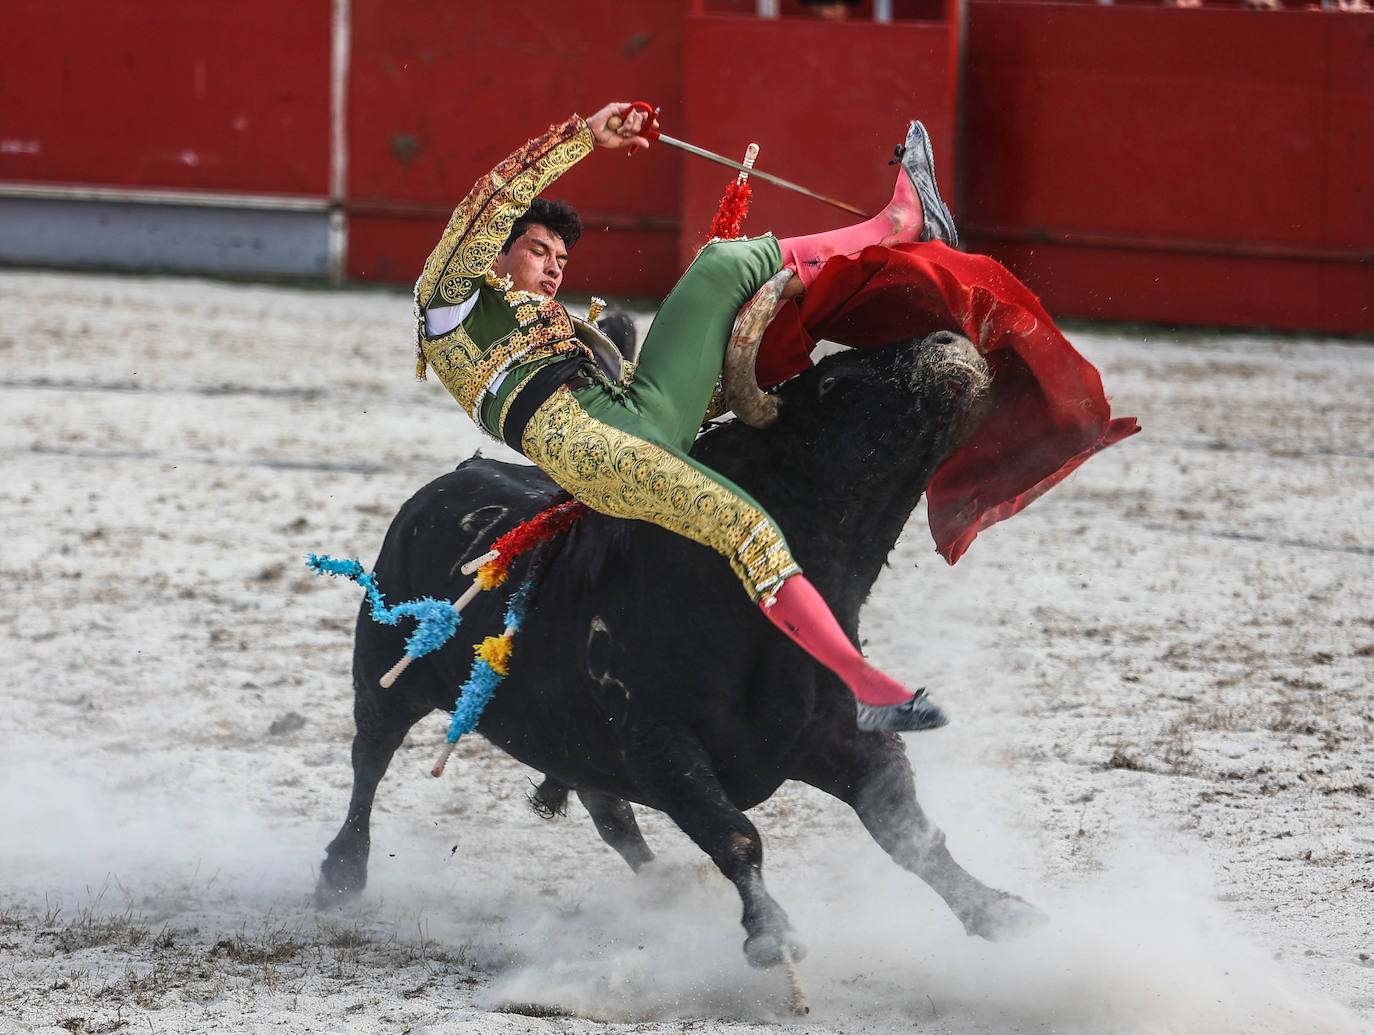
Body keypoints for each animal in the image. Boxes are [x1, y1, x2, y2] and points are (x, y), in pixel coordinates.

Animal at [314, 328, 1038, 962]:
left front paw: (998, 909)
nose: (950, 340)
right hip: (381, 673)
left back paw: (662, 888)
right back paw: (341, 874)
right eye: (834, 380)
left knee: (608, 811)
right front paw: (771, 936)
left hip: (572, 738)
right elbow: (737, 834)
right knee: (370, 756)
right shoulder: (658, 740)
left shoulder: (848, 735)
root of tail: (441, 487)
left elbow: (911, 832)